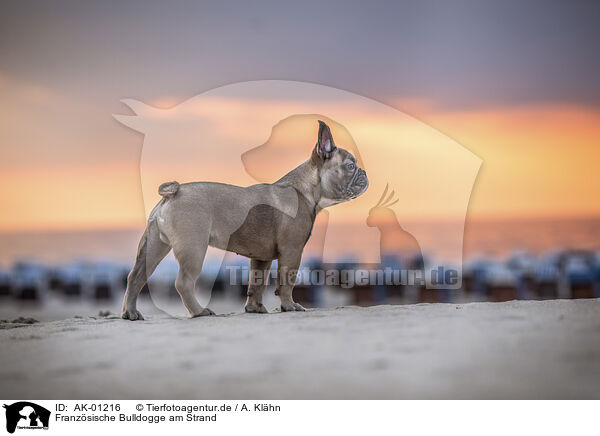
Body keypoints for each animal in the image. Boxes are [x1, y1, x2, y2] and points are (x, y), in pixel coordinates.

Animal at [120, 120, 366, 320]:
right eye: (350, 166)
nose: (364, 173)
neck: (304, 189)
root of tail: (173, 193)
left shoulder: (261, 257)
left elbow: (257, 283)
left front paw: (254, 309)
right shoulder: (292, 250)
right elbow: (287, 281)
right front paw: (289, 306)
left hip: (154, 245)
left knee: (136, 277)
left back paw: (130, 313)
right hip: (193, 247)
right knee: (183, 282)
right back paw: (199, 312)